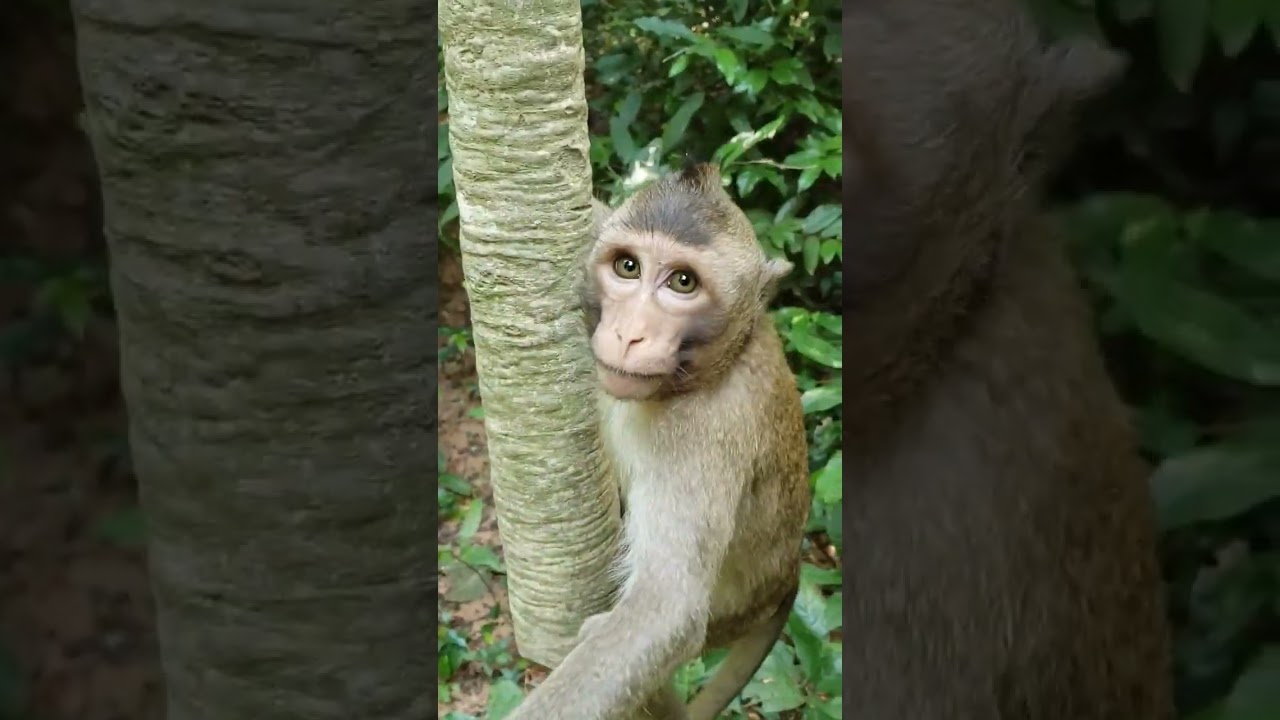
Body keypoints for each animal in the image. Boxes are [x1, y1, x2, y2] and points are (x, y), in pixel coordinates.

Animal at [502, 163, 812, 720]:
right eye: (627, 267)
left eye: (682, 282)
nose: (630, 334)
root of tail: (789, 574)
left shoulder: (705, 430)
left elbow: (664, 612)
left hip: (730, 617)